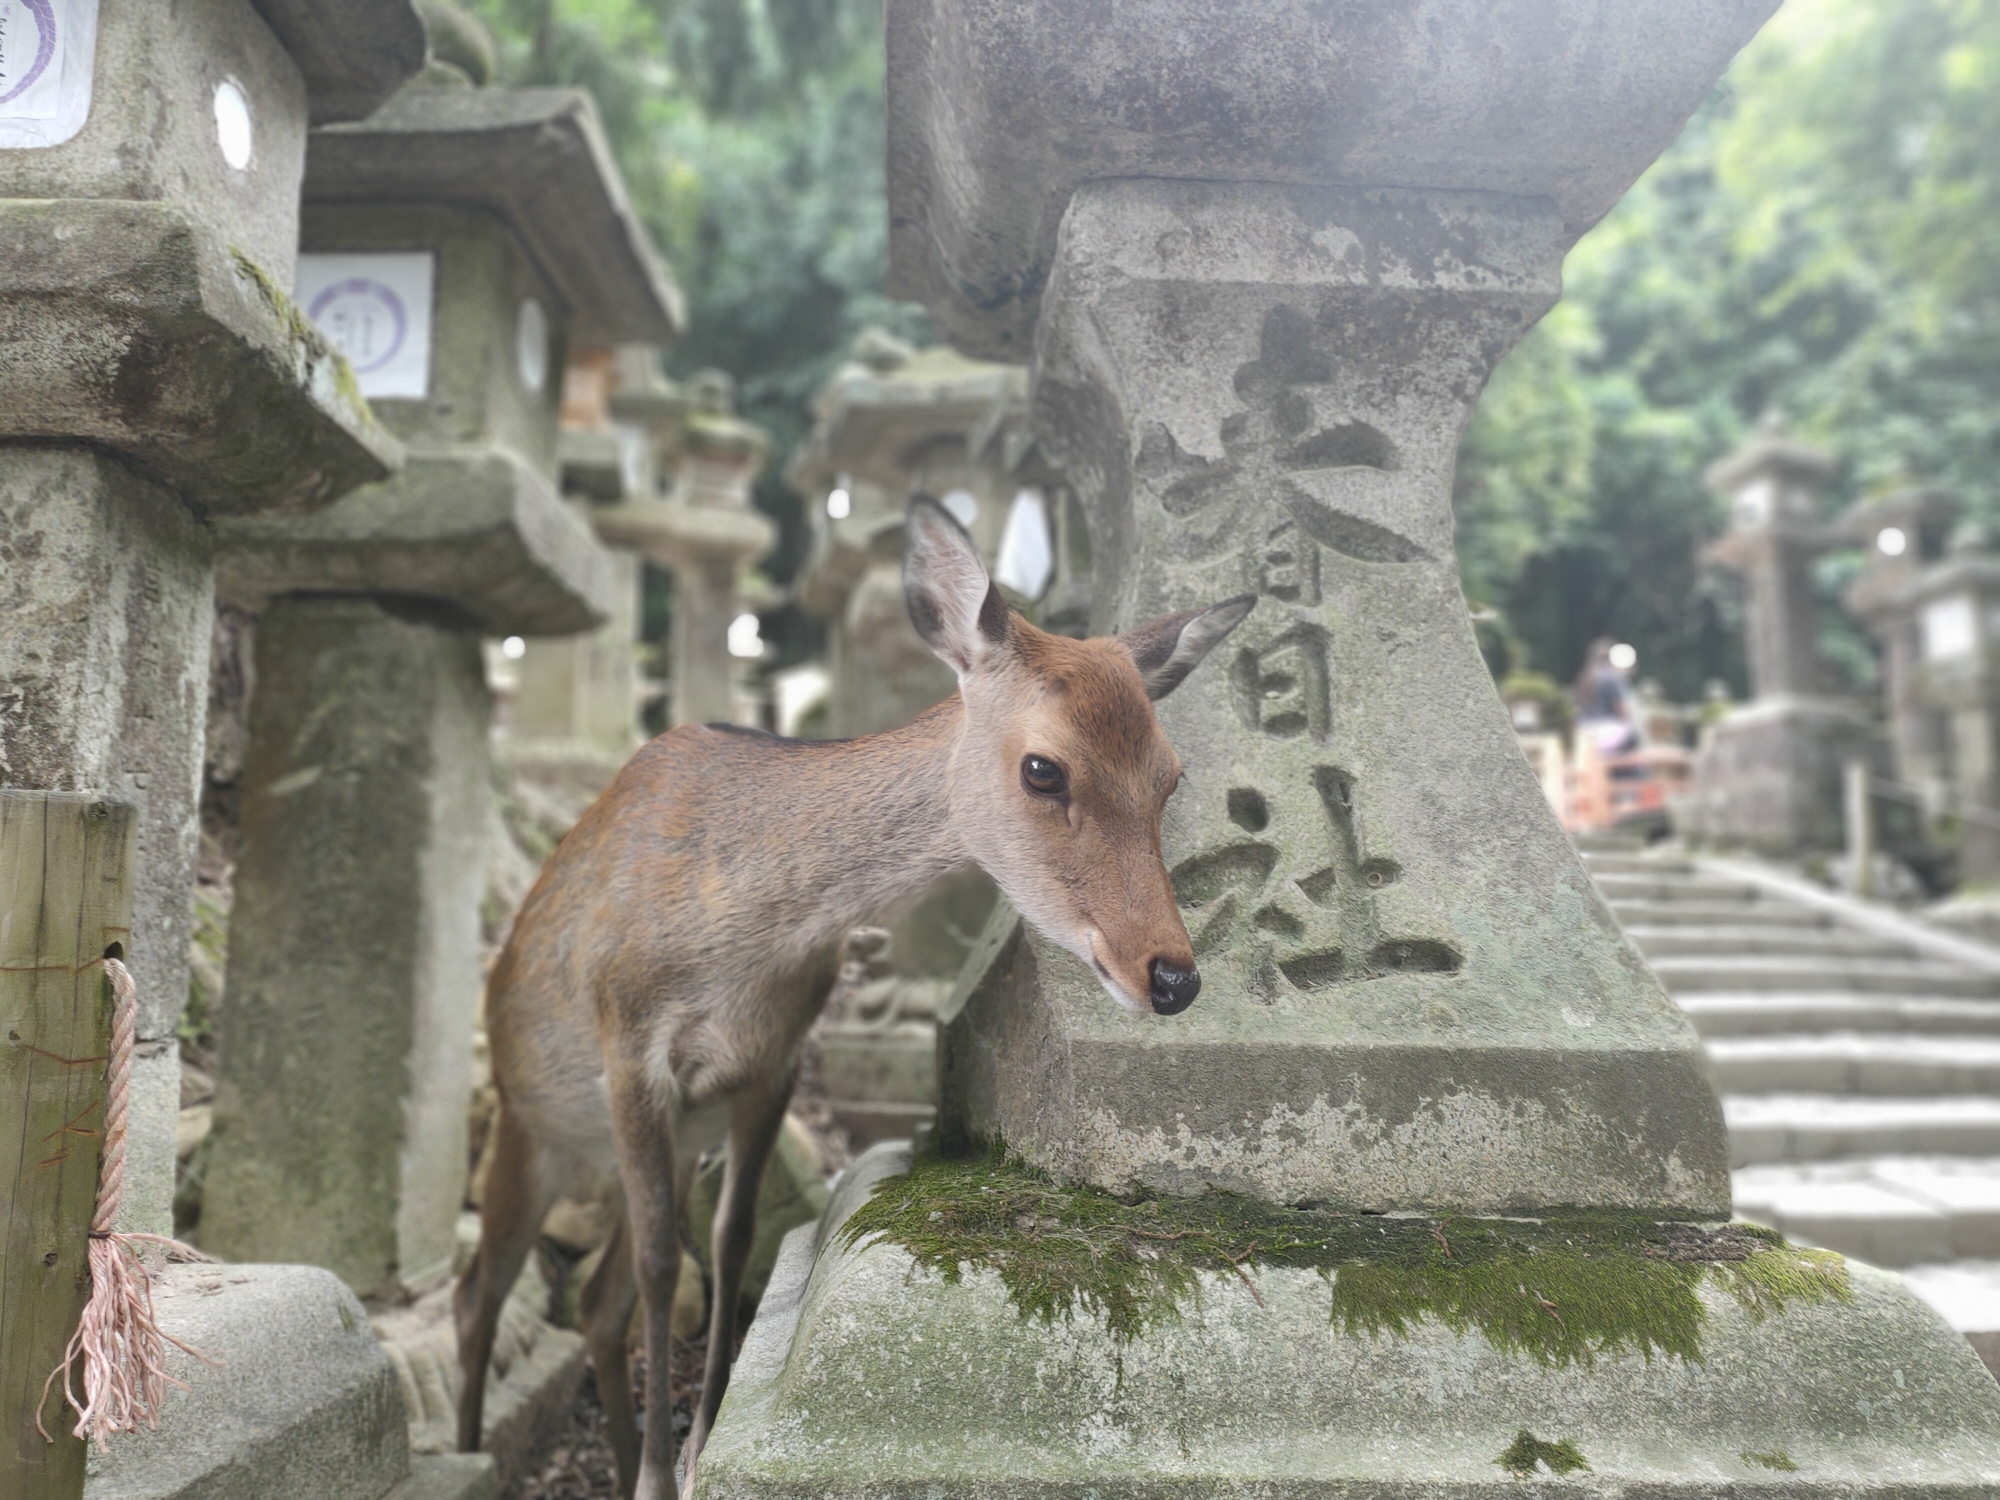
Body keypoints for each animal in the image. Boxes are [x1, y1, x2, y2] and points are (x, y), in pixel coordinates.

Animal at [460, 500, 1256, 1496]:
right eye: (1043, 768)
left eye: (1170, 775)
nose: (1174, 975)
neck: (742, 943)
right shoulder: (629, 1045)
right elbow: (660, 1263)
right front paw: (658, 1478)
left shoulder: (771, 1063)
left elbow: (731, 1241)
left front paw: (698, 1442)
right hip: (529, 1129)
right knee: (480, 1293)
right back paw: (467, 1450)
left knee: (595, 1300)